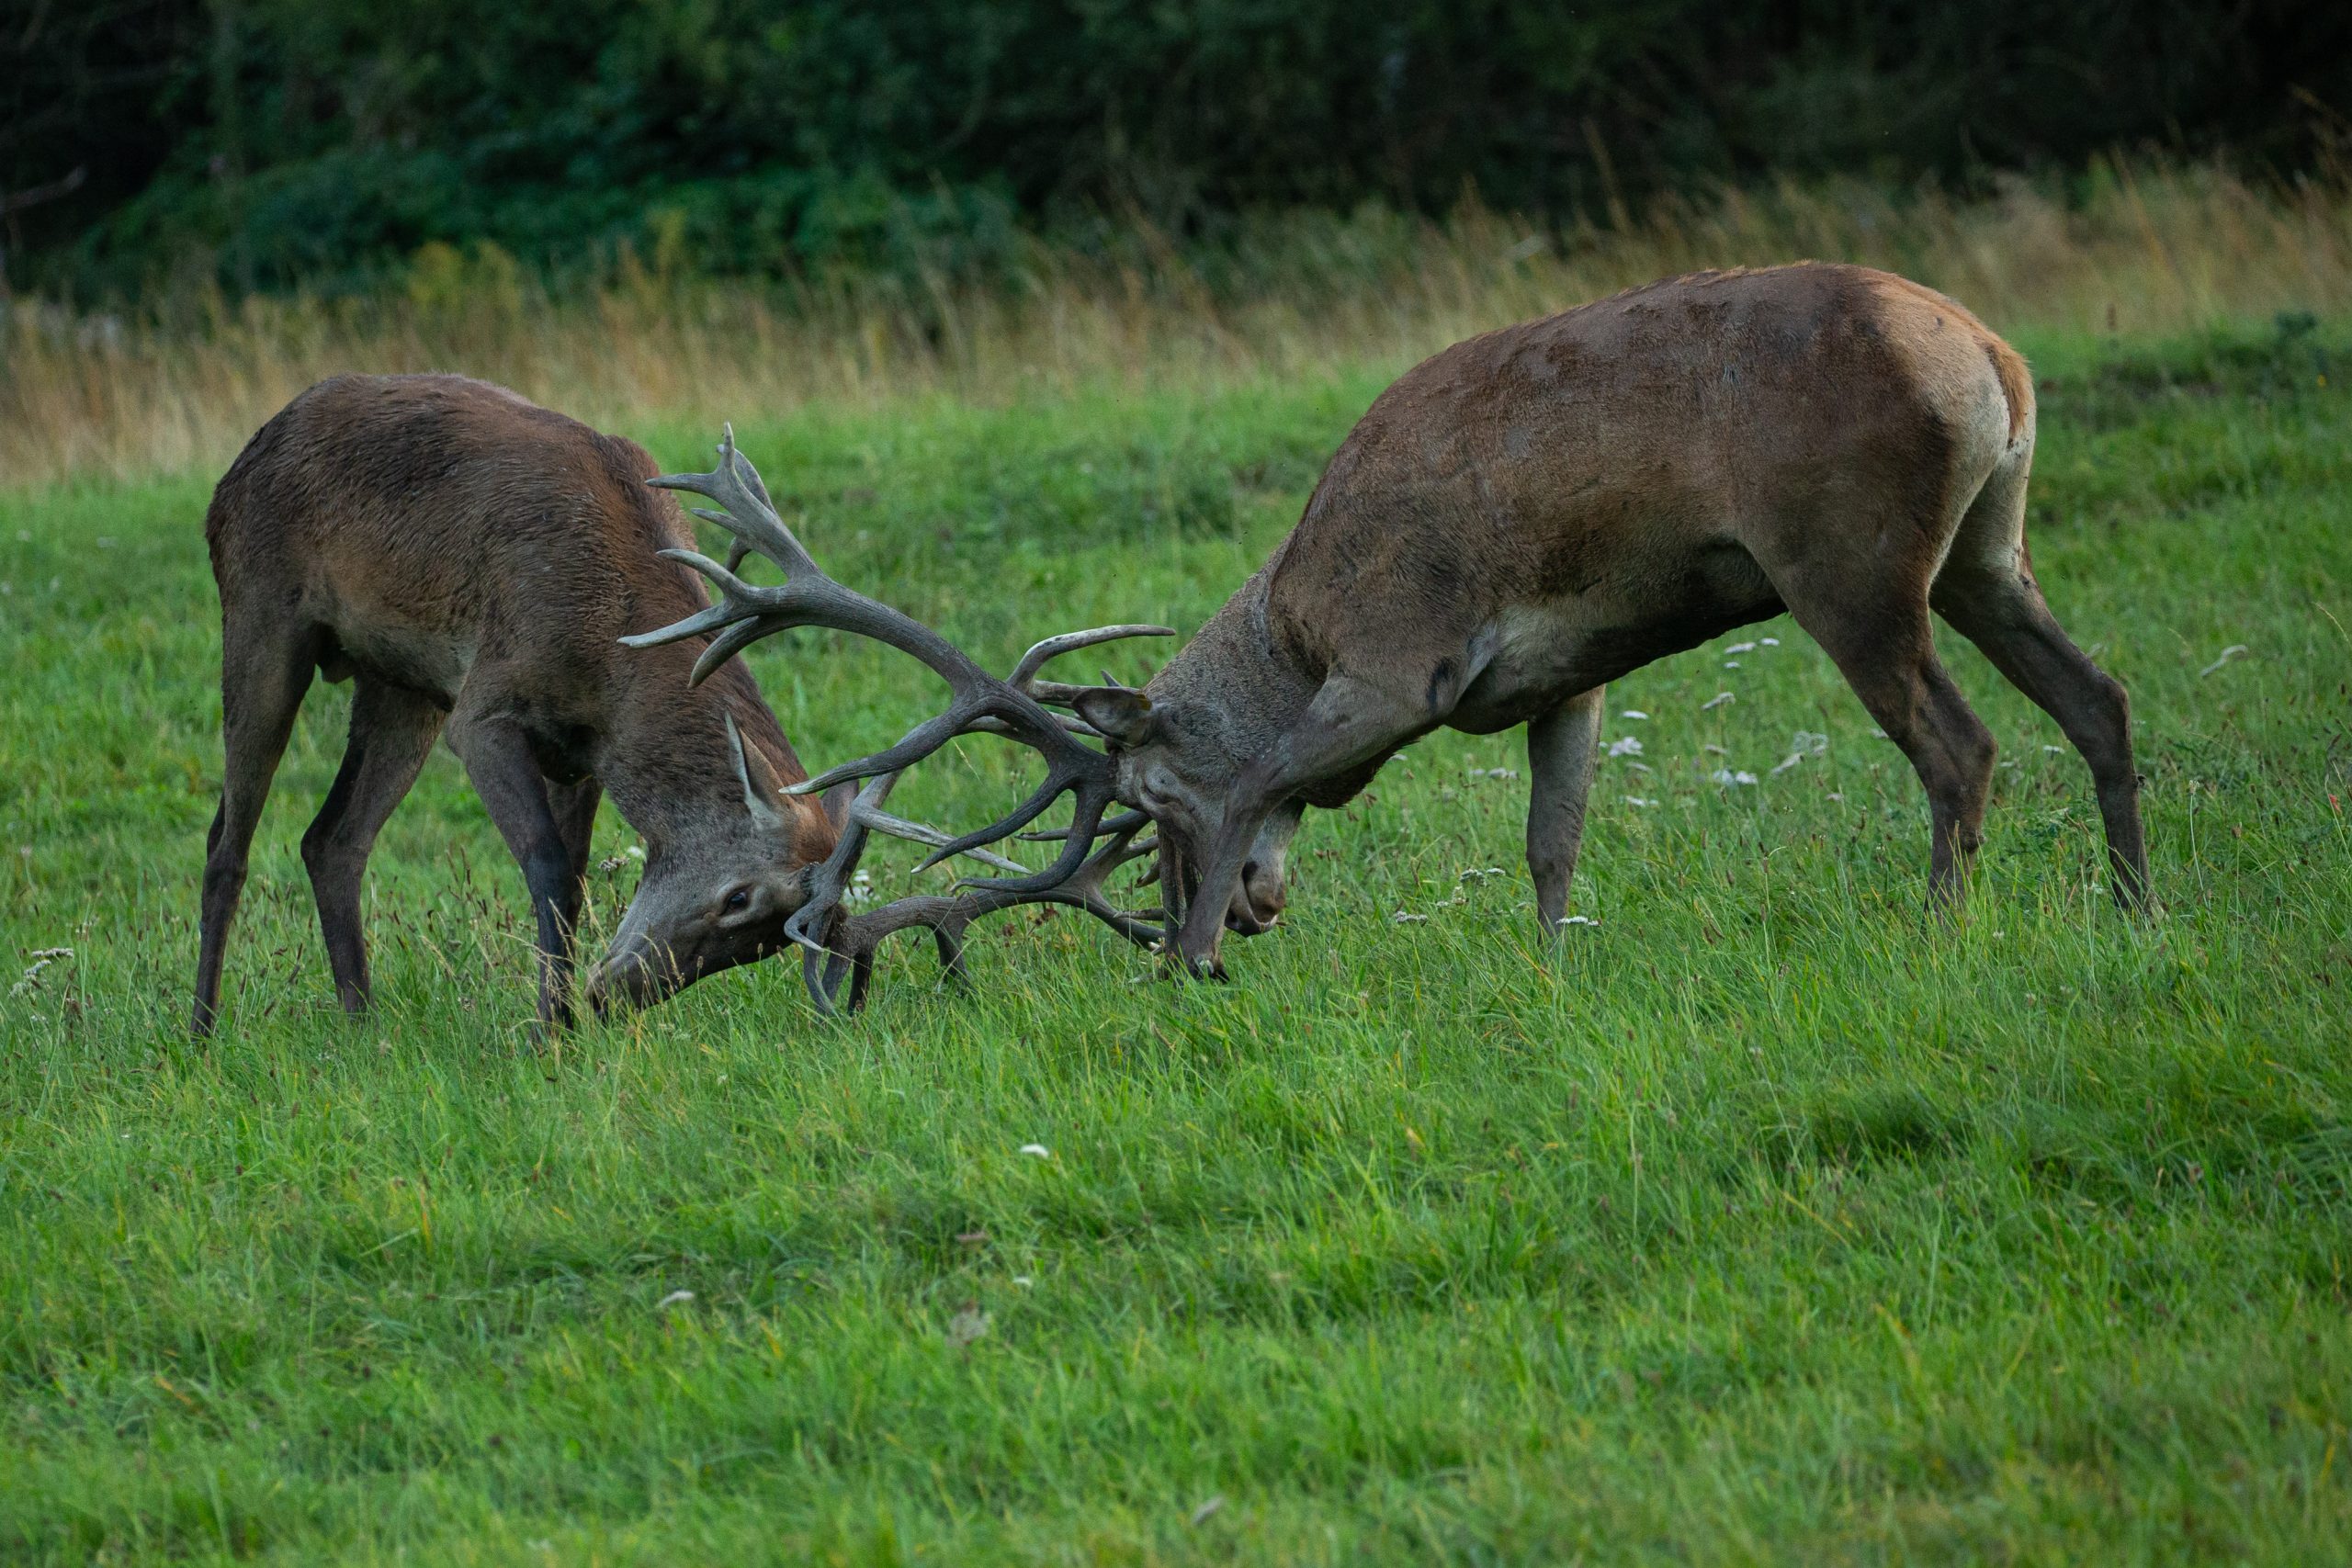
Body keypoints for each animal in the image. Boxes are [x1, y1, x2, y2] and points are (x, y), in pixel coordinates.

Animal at [191, 373, 1005, 1034]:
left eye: (767, 943)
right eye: (740, 896)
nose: (614, 995)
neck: (612, 650)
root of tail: (231, 473)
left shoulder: (579, 750)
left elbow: (576, 879)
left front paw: (560, 1026)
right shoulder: (485, 707)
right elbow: (548, 867)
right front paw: (548, 1037)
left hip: (398, 681)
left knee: (332, 839)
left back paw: (363, 1025)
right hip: (261, 612)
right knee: (229, 836)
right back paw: (202, 1031)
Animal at [622, 263, 2150, 1010]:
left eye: (1148, 798)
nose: (1243, 908)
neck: (1299, 617)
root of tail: (1989, 356)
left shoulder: (1402, 656)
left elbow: (1266, 771)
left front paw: (1183, 974)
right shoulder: (1569, 676)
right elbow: (1551, 841)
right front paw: (1551, 973)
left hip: (1846, 556)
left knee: (1962, 745)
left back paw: (1939, 934)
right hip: (1989, 547)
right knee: (2101, 697)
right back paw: (2136, 907)